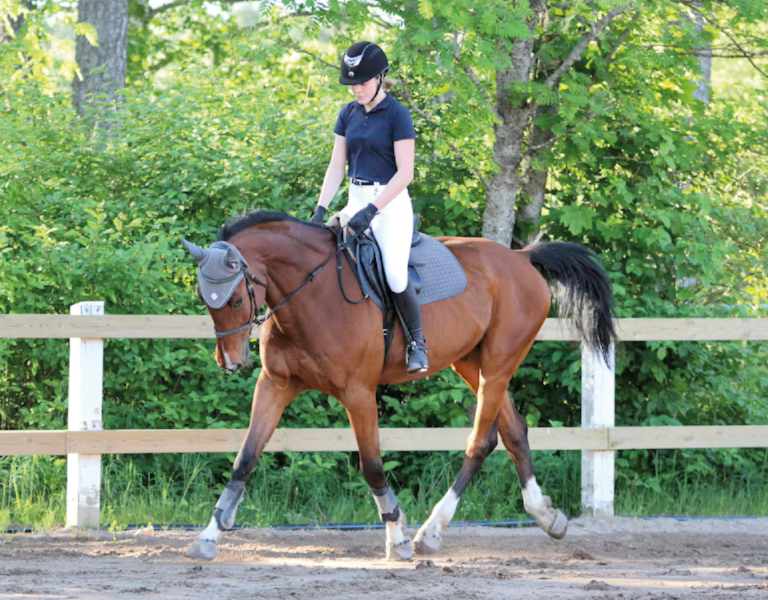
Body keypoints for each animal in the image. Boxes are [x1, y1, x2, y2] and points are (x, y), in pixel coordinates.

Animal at [182, 209, 616, 560]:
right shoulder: (275, 385)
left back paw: (430, 532)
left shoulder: (358, 393)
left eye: (236, 300)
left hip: (498, 363)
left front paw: (398, 537)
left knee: (480, 441)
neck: (312, 293)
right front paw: (208, 536)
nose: (230, 362)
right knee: (512, 432)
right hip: (472, 363)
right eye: (206, 300)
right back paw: (546, 516)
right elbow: (244, 460)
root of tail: (521, 257)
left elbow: (373, 466)